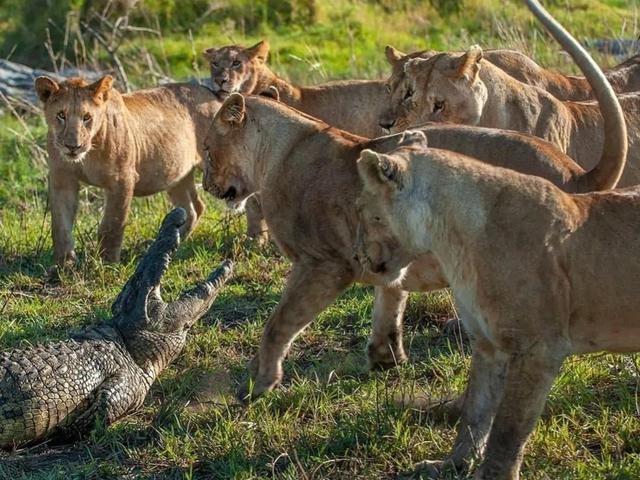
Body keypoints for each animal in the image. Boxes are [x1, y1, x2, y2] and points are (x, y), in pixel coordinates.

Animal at [37, 75, 224, 264]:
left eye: (86, 117)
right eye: (61, 115)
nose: (72, 146)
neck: (87, 155)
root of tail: (212, 94)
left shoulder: (121, 179)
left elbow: (112, 224)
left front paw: (107, 263)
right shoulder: (62, 179)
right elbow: (60, 226)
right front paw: (63, 263)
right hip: (177, 175)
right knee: (194, 208)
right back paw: (172, 244)